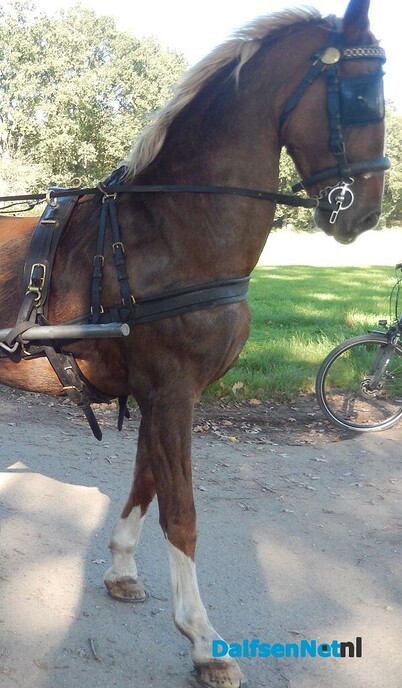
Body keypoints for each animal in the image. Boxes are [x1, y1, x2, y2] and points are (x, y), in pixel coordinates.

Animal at [0, 1, 388, 686]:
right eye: (362, 92)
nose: (365, 213)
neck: (169, 229)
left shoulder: (166, 393)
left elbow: (146, 483)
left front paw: (121, 569)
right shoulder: (171, 388)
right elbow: (180, 510)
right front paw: (203, 638)